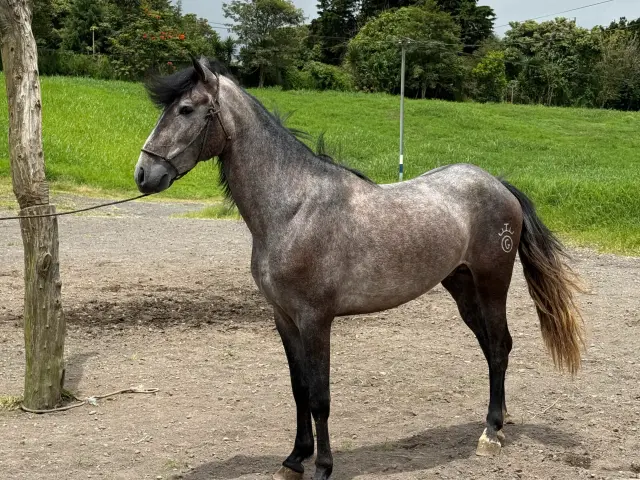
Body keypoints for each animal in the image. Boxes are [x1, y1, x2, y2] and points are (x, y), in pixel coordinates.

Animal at [134, 57, 585, 480]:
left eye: (186, 109)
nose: (143, 174)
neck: (293, 208)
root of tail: (497, 184)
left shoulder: (316, 320)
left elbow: (320, 396)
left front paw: (322, 466)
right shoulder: (284, 319)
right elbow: (299, 389)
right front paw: (294, 459)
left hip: (493, 284)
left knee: (500, 346)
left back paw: (492, 433)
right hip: (462, 287)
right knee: (491, 349)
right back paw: (499, 420)